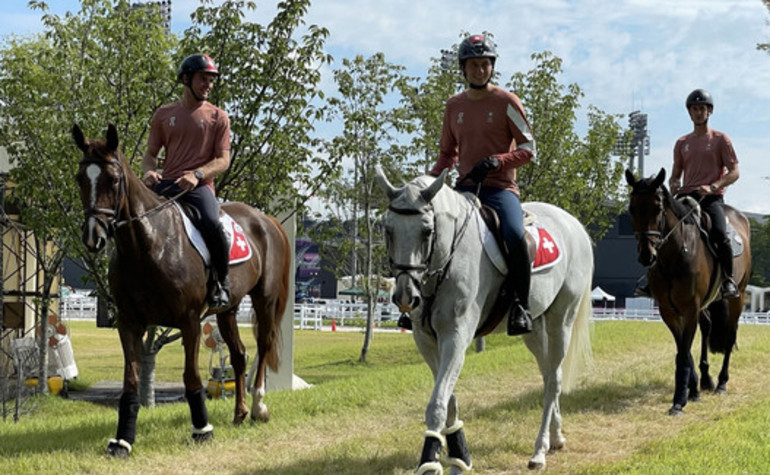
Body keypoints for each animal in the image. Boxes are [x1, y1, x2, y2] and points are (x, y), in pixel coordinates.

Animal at [73, 124, 290, 460]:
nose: (93, 237)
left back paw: (258, 407)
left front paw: (202, 429)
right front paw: (122, 440)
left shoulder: (189, 322)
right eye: (80, 178)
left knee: (264, 345)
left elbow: (191, 377)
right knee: (239, 355)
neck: (150, 244)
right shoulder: (128, 322)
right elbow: (131, 382)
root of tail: (265, 220)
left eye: (114, 179)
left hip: (265, 300)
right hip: (228, 311)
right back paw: (239, 412)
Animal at [376, 168, 592, 472]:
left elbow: (438, 404)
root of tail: (574, 224)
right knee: (551, 373)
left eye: (427, 231)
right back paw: (556, 437)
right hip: (533, 329)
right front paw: (460, 456)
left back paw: (539, 451)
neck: (448, 256)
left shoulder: (456, 336)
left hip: (561, 321)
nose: (407, 297)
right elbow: (448, 399)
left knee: (553, 381)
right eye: (388, 230)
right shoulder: (426, 340)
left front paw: (430, 462)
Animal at [628, 167, 748, 416]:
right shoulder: (668, 310)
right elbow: (683, 349)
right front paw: (692, 390)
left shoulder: (689, 308)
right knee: (707, 327)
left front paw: (679, 400)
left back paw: (721, 383)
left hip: (738, 297)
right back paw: (706, 380)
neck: (674, 255)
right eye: (631, 209)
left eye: (658, 208)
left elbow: (684, 353)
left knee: (730, 335)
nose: (646, 255)